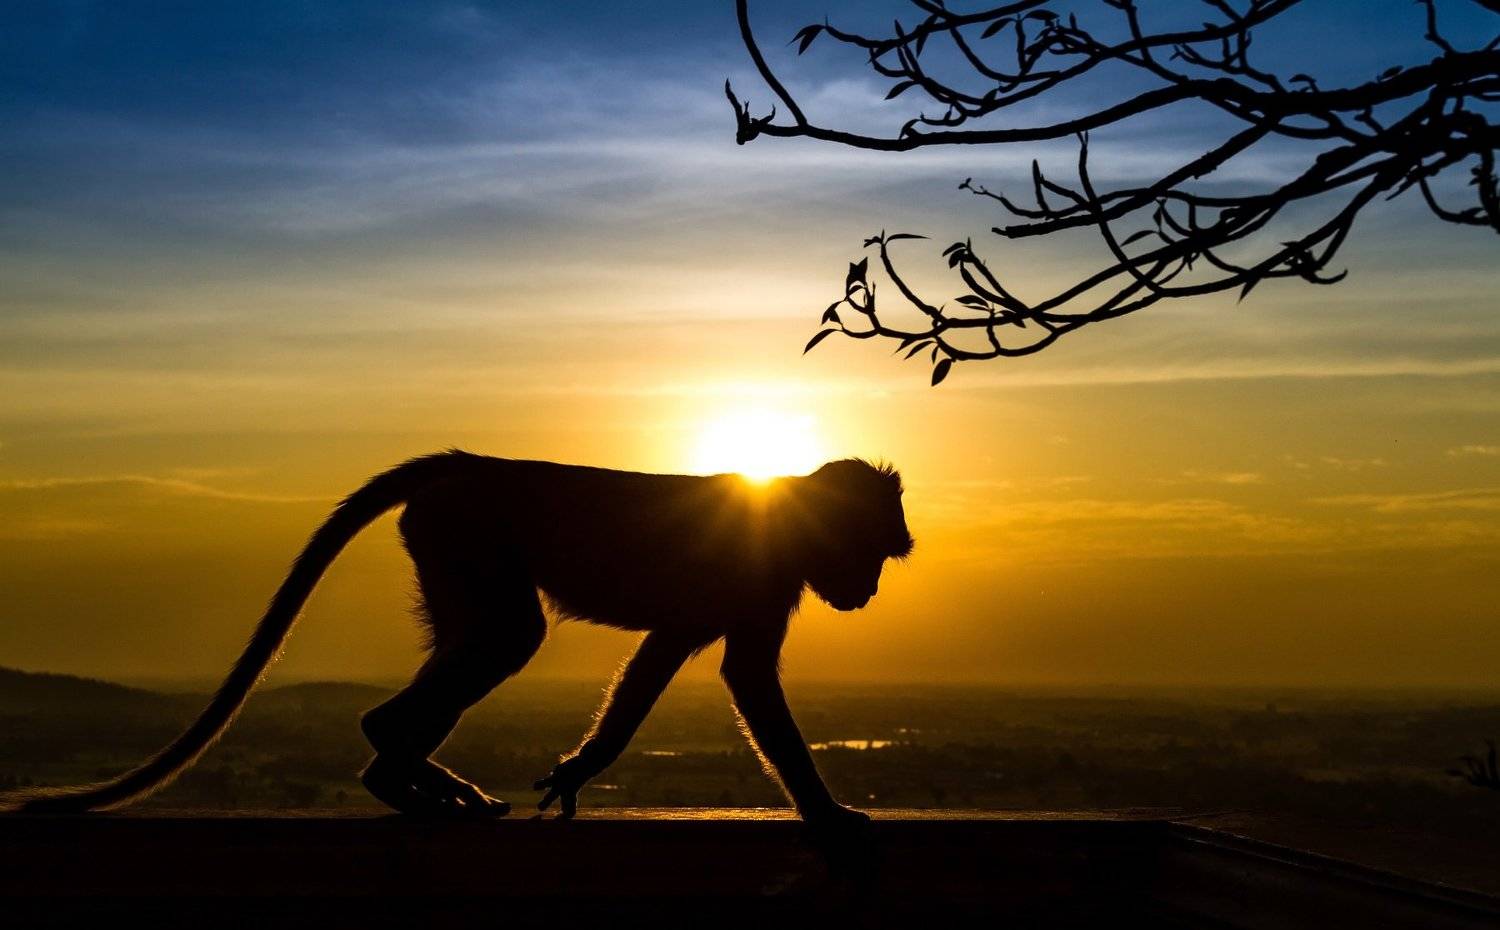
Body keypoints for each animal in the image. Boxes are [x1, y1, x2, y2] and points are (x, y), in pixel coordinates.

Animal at [3, 450, 913, 830]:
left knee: (489, 637)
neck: (789, 513)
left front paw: (580, 770)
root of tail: (472, 463)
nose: (869, 590)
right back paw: (396, 767)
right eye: (873, 549)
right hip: (463, 530)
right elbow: (746, 678)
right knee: (510, 637)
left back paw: (401, 772)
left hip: (442, 544)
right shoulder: (761, 572)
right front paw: (827, 809)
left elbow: (663, 660)